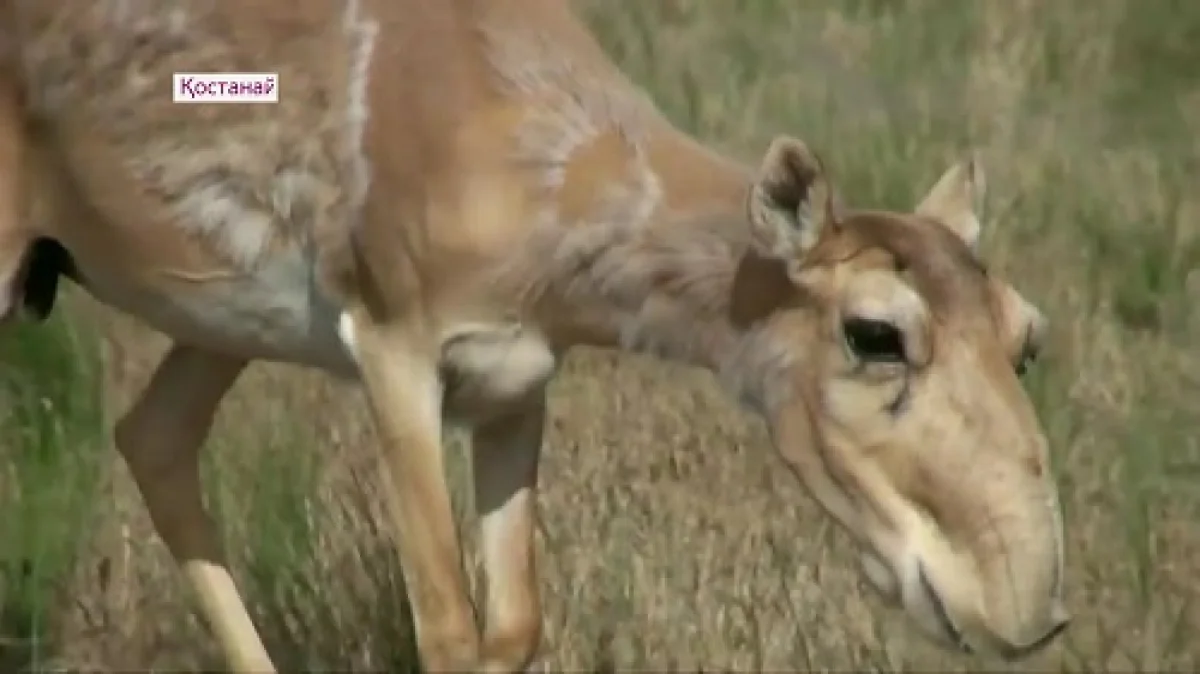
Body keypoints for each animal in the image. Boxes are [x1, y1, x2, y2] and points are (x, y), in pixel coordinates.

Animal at [0, 0, 1070, 666]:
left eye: (1025, 333)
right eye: (875, 332)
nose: (1030, 611)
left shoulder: (515, 383)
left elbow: (512, 627)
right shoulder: (395, 356)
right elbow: (446, 626)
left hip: (216, 330)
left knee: (153, 435)